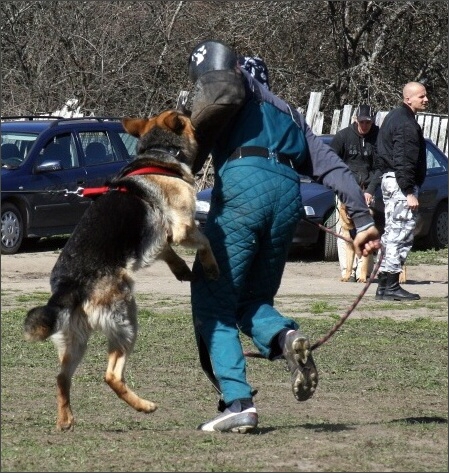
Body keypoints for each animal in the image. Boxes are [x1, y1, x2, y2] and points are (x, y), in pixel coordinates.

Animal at [23, 109, 219, 430]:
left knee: (62, 377)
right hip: (127, 319)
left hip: (74, 340)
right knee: (111, 375)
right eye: (185, 117)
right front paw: (211, 268)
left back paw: (66, 420)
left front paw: (181, 269)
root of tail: (69, 286)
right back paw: (145, 406)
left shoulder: (161, 236)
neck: (159, 153)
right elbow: (205, 241)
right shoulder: (183, 227)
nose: (192, 111)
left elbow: (168, 251)